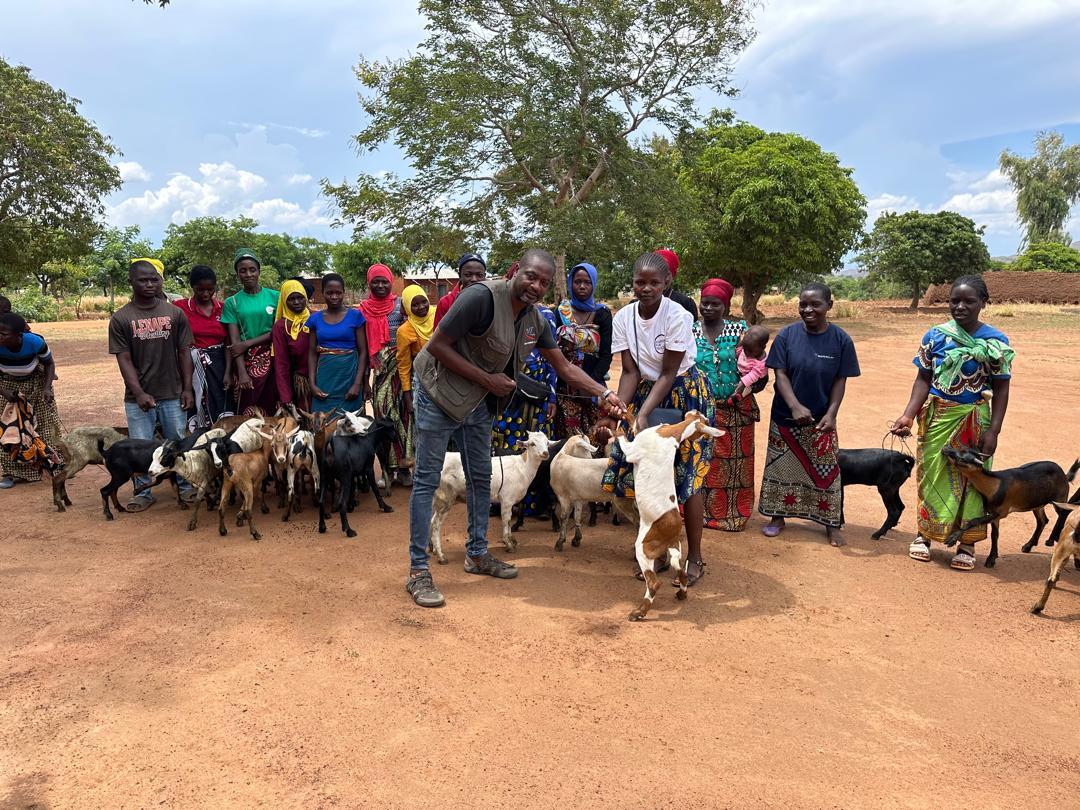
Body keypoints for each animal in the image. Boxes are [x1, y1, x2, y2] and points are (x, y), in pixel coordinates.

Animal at [427, 432, 552, 565]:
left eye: (547, 443)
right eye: (532, 443)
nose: (545, 453)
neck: (523, 468)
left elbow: (508, 523)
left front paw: (512, 541)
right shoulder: (507, 500)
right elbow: (506, 521)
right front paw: (509, 544)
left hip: (436, 498)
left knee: (430, 520)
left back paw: (432, 548)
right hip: (445, 497)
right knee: (436, 524)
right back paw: (441, 556)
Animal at [617, 414, 725, 626]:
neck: (670, 434)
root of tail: (672, 532)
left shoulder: (631, 450)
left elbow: (621, 435)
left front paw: (617, 423)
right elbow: (632, 421)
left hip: (643, 548)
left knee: (654, 583)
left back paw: (639, 612)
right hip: (675, 550)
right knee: (681, 573)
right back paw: (681, 595)